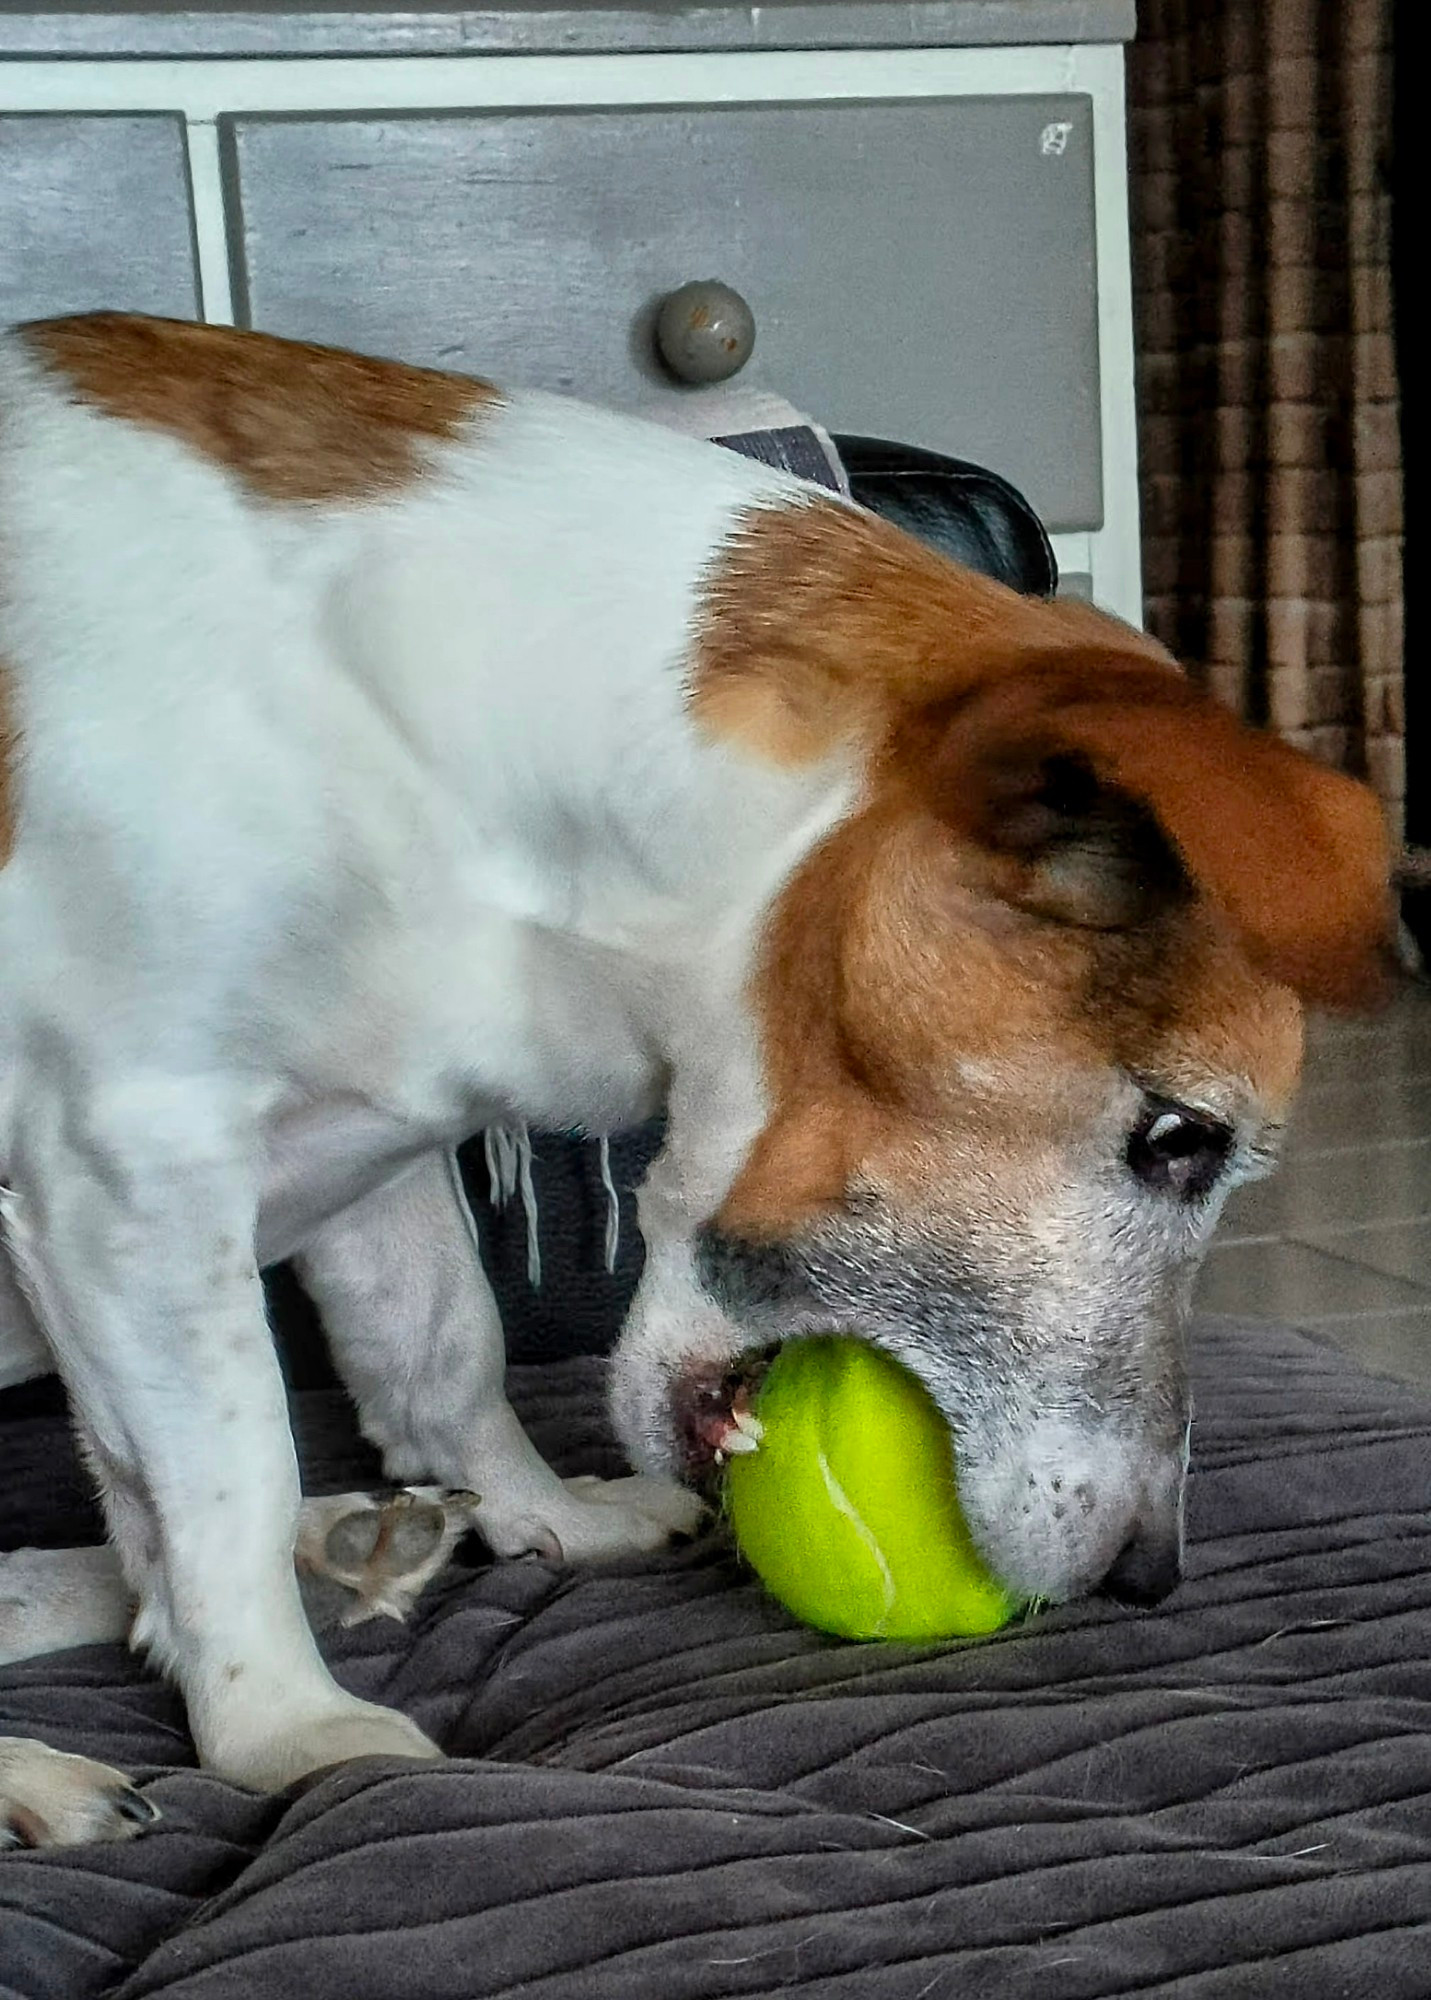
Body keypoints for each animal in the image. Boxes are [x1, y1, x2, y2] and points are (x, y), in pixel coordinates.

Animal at [0, 316, 1383, 1856]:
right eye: (1181, 1140)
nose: (1145, 1577)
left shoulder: (374, 1143)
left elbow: (437, 1346)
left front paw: (537, 1513)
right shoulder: (130, 1175)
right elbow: (231, 1466)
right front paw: (285, 1725)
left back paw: (354, 1540)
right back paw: (58, 1760)